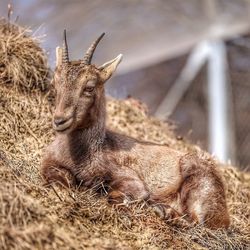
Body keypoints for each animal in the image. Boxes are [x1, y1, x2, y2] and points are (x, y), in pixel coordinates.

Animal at [41, 30, 230, 229]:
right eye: (55, 84)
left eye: (89, 87)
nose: (60, 120)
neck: (82, 155)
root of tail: (225, 213)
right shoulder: (50, 165)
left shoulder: (130, 180)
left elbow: (117, 195)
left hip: (199, 187)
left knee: (196, 221)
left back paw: (163, 211)